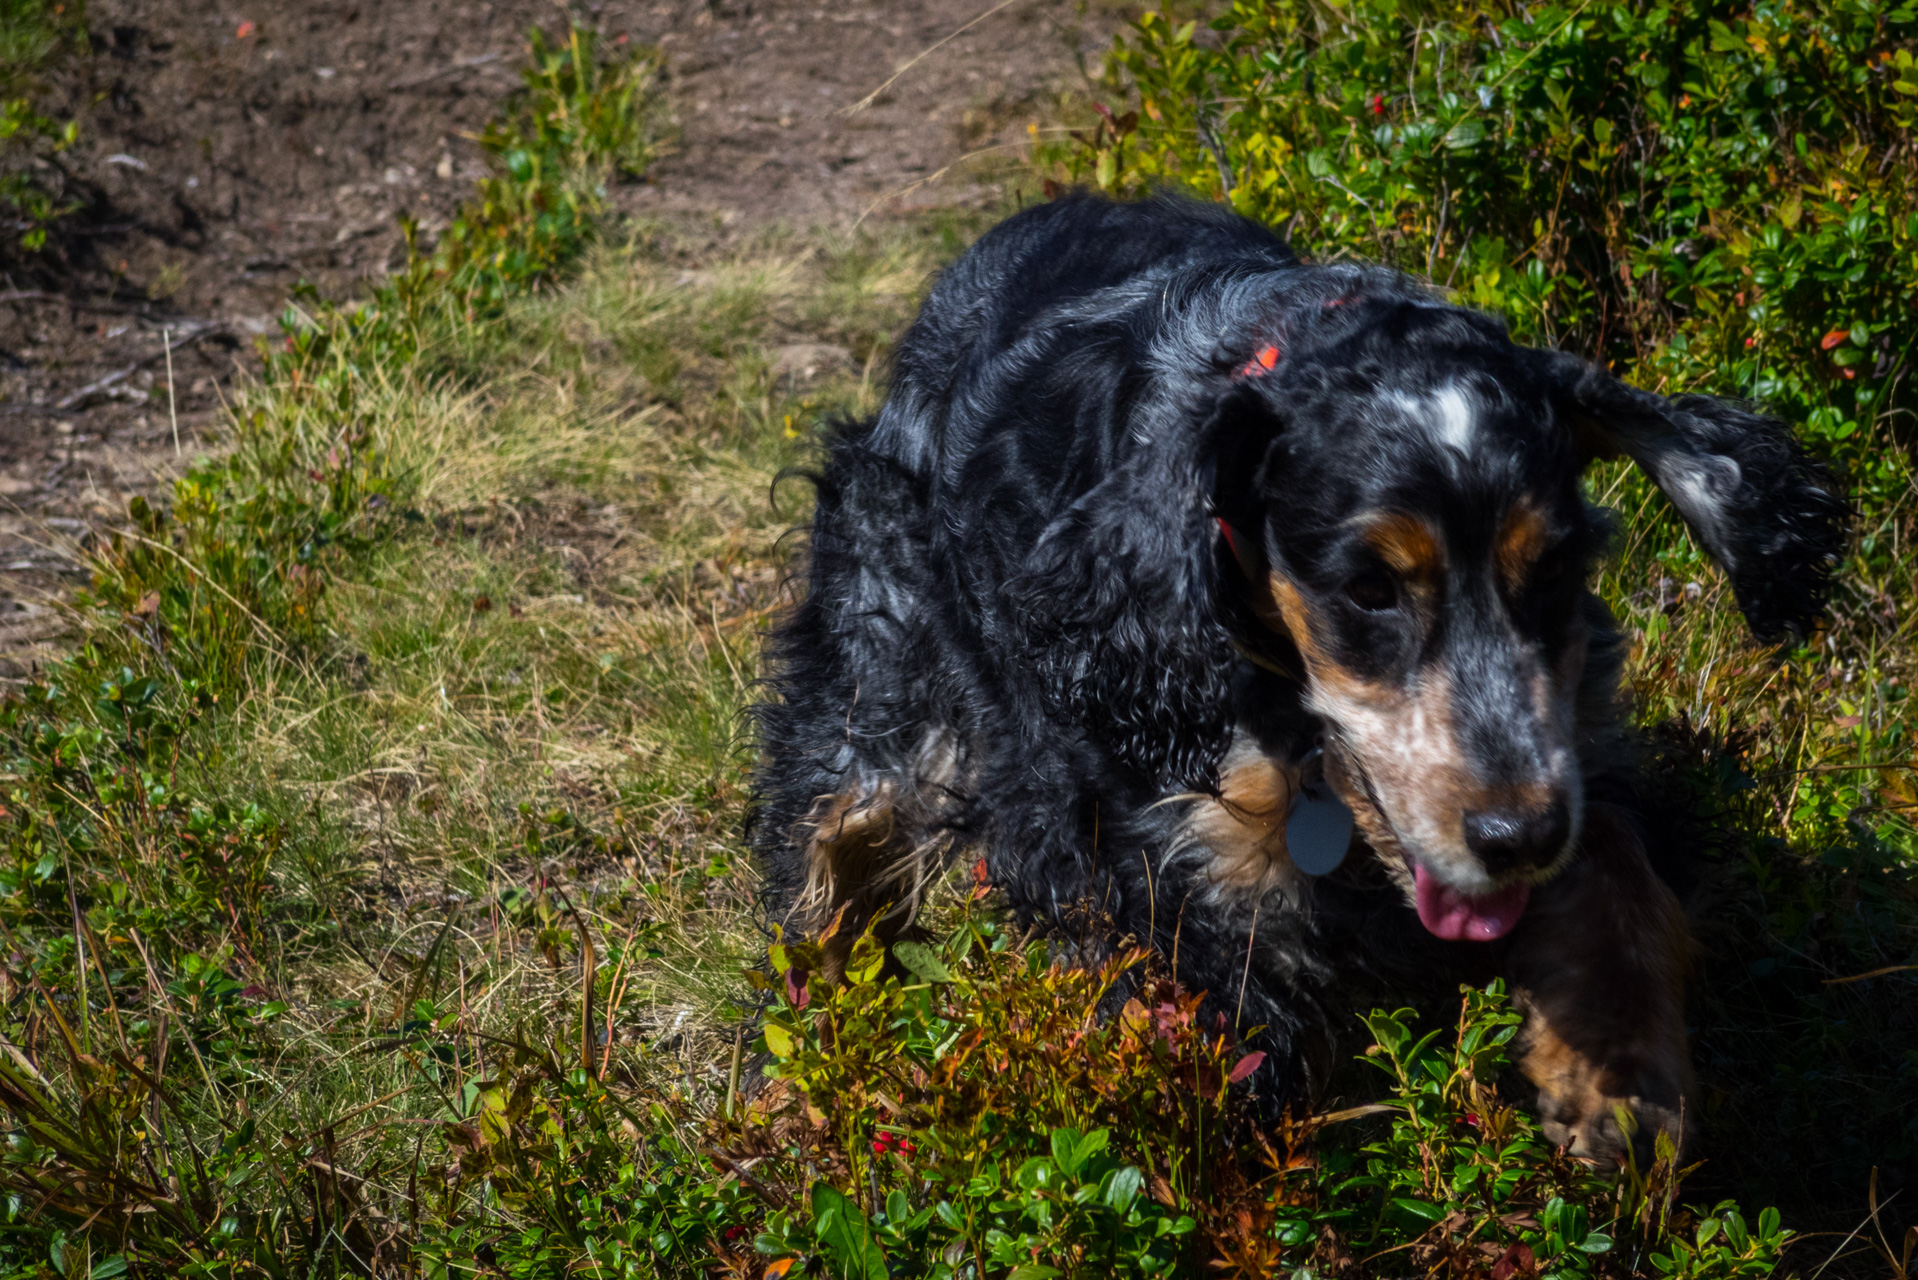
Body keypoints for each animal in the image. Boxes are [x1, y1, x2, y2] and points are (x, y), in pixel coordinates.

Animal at [748, 189, 1841, 1159]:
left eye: (1557, 569)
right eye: (1368, 588)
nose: (1516, 838)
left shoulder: (1575, 741)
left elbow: (1616, 857)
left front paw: (1616, 1082)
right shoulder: (1164, 858)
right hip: (883, 667)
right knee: (830, 850)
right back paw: (803, 1074)